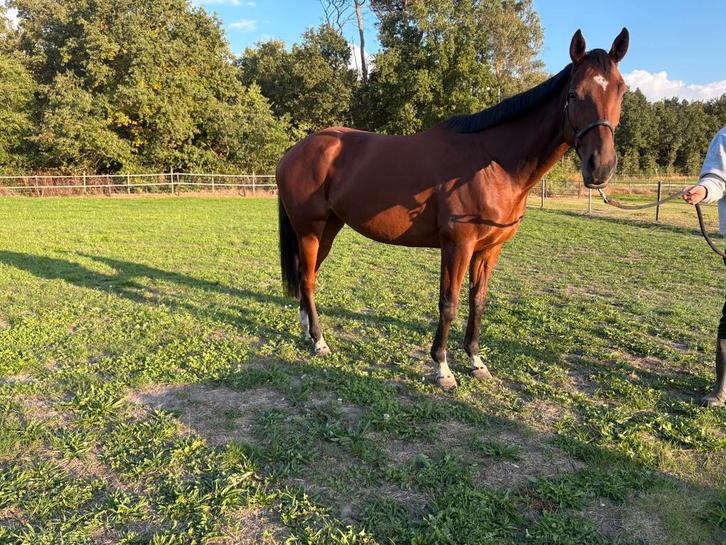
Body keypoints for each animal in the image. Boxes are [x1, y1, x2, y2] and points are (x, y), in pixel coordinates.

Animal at [276, 28, 629, 389]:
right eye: (574, 93)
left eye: (621, 91)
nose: (600, 166)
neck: (492, 163)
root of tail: (295, 152)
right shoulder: (457, 245)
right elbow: (449, 303)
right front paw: (443, 368)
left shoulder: (488, 250)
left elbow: (478, 301)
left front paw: (476, 361)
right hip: (310, 229)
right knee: (308, 280)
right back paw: (320, 341)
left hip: (328, 229)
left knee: (307, 277)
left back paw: (307, 332)